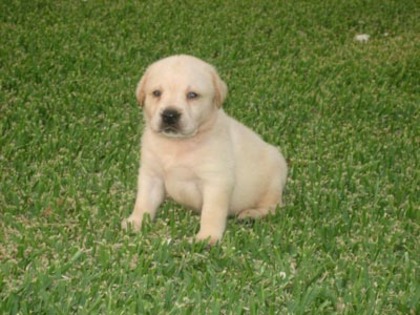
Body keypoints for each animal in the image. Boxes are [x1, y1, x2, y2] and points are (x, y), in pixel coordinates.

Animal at [120, 55, 288, 246]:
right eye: (156, 93)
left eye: (192, 95)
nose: (170, 115)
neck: (177, 144)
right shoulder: (151, 174)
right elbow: (143, 202)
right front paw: (135, 222)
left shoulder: (216, 181)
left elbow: (211, 212)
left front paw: (207, 237)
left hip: (275, 177)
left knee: (274, 206)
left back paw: (251, 214)